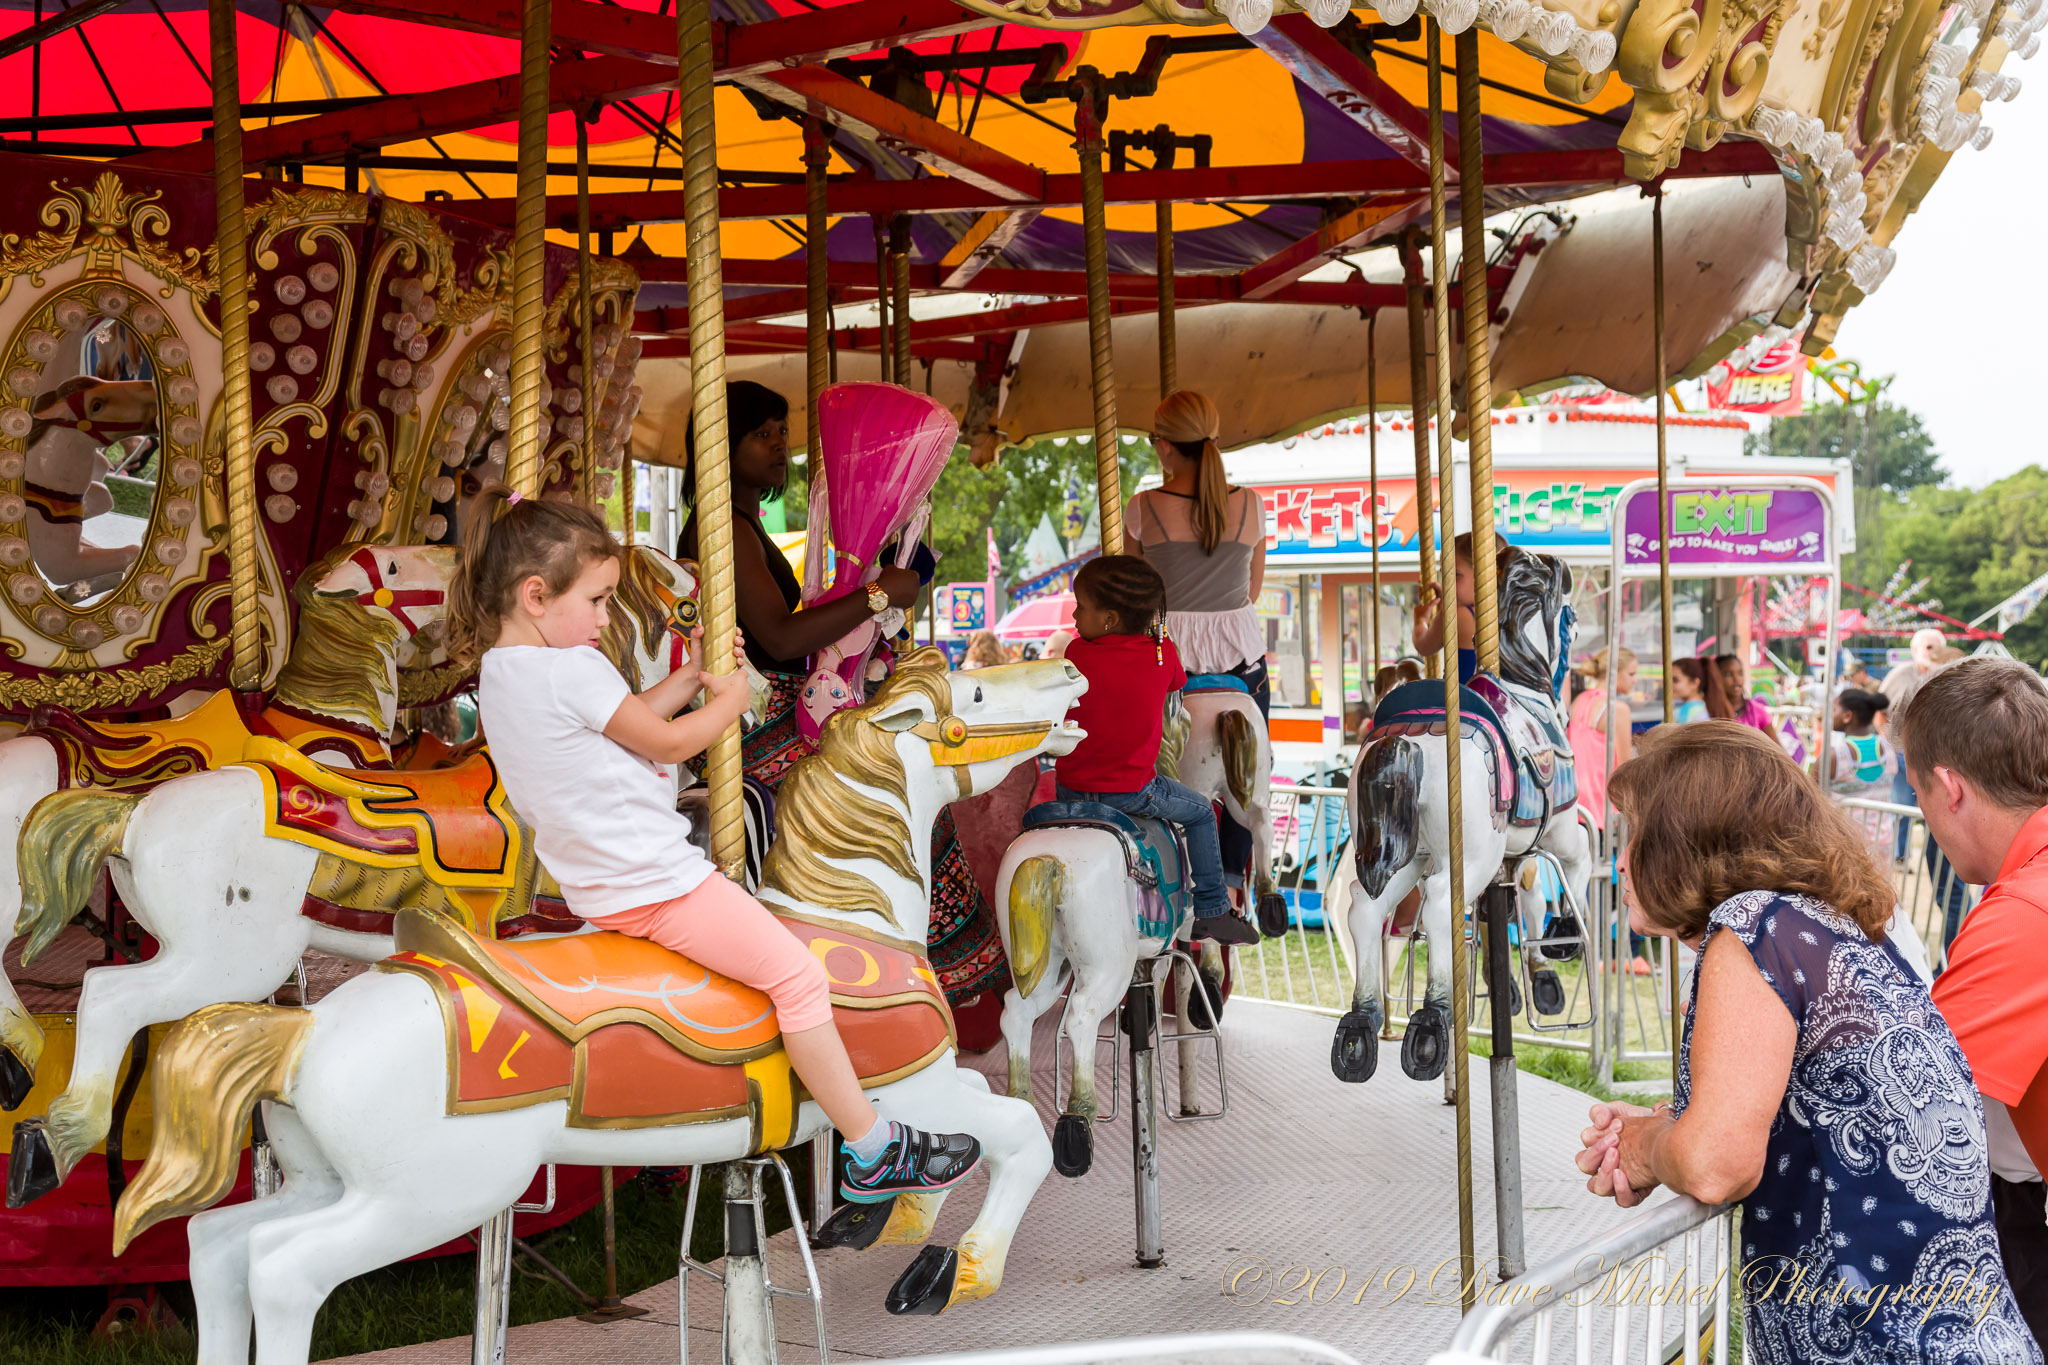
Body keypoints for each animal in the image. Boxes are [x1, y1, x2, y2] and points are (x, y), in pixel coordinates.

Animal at [4, 546, 716, 1201]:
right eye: (690, 608)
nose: (456, 564)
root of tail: (134, 812)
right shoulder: (571, 942)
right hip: (228, 958)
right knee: (108, 995)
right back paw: (47, 1134)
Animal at [109, 650, 1079, 1362]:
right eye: (977, 691)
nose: (1068, 667)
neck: (845, 917)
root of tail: (306, 1031)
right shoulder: (902, 1083)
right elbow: (1013, 1133)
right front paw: (958, 1270)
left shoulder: (924, 1084)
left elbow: (973, 1130)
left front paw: (900, 1232)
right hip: (433, 1191)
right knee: (283, 1271)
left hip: (327, 1175)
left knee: (219, 1248)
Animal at [1325, 549, 1591, 1086]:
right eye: (1570, 623)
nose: (1567, 698)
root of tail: (1406, 739)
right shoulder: (1554, 833)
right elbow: (1572, 871)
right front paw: (1556, 952)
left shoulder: (1507, 859)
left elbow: (1500, 913)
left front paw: (1512, 987)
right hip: (1470, 854)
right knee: (1440, 907)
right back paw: (1431, 1025)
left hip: (1401, 852)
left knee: (1366, 909)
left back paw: (1361, 1029)